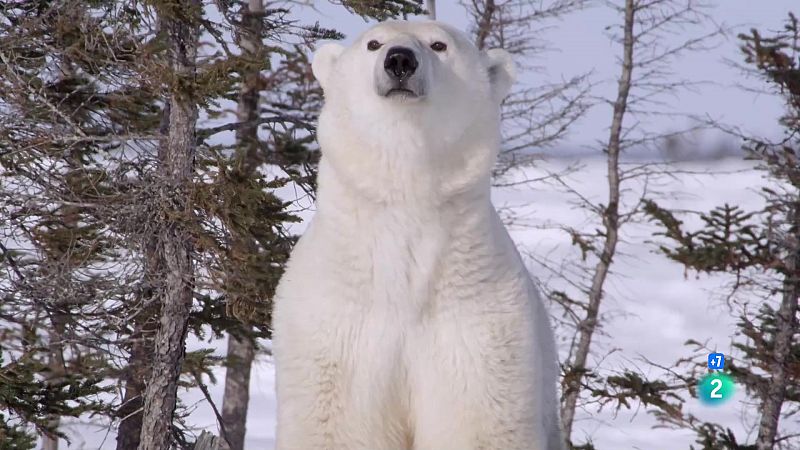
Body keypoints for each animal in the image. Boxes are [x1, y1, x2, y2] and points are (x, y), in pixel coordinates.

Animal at [274, 20, 564, 450]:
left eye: (439, 44)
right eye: (373, 43)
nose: (400, 60)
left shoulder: (475, 327)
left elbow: (477, 422)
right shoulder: (338, 326)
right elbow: (338, 424)